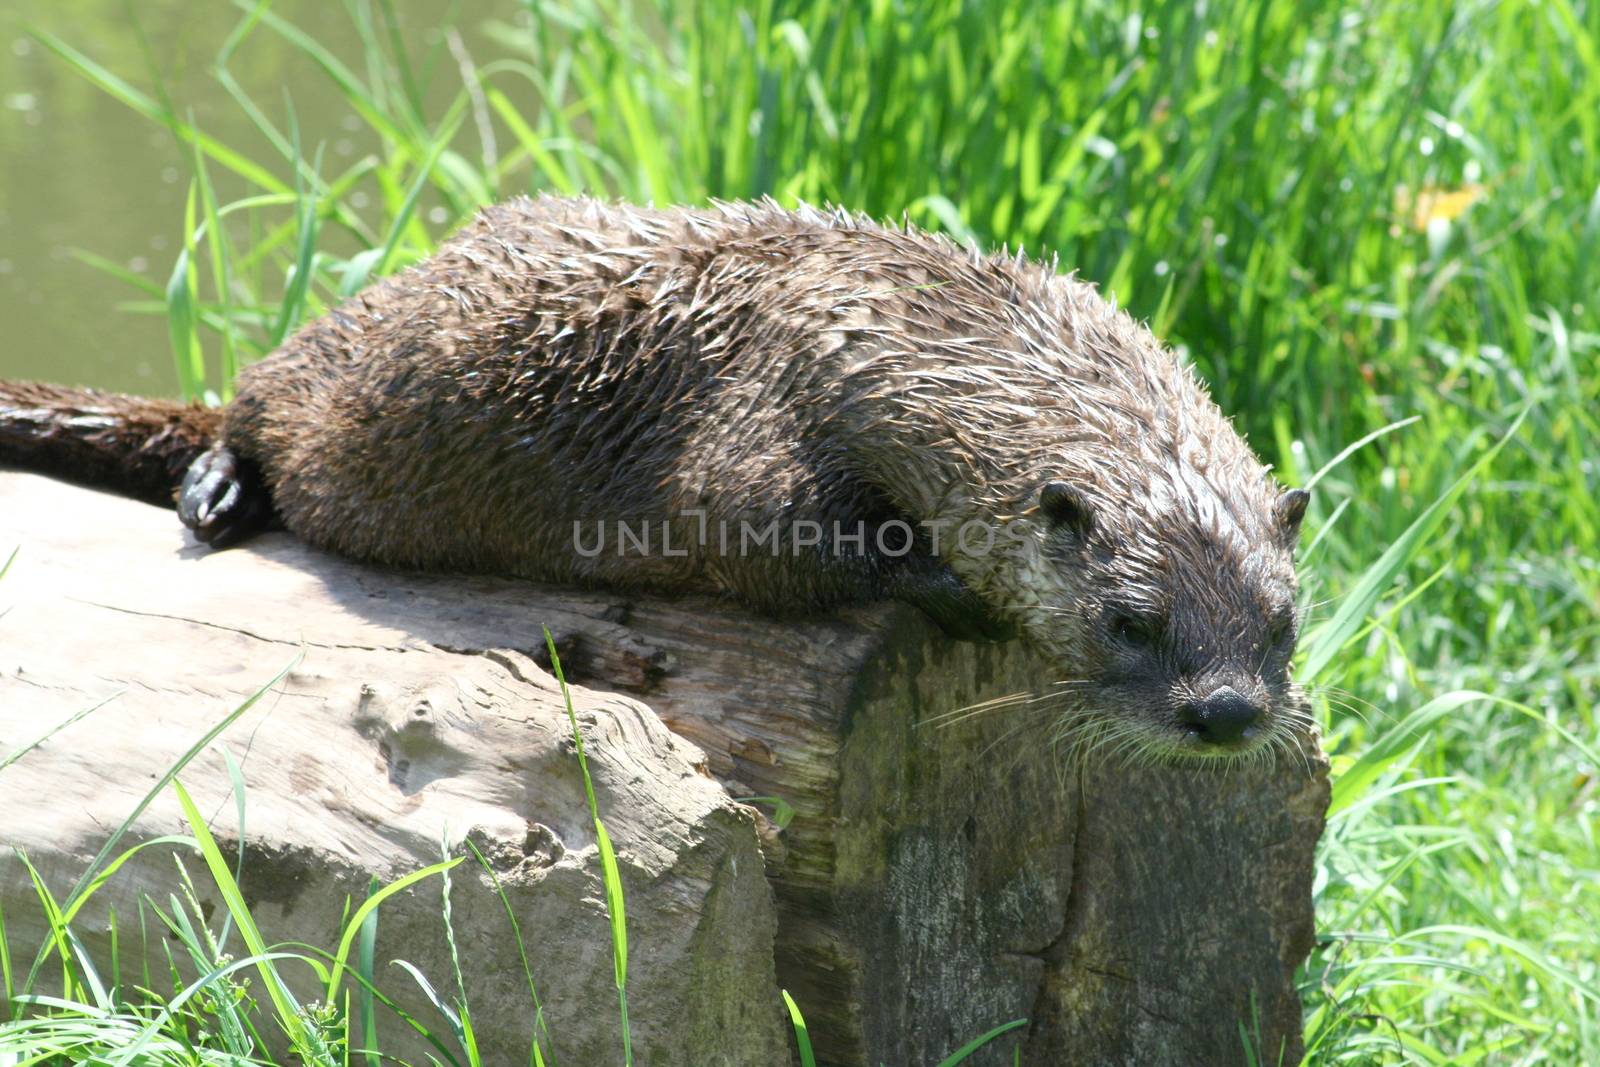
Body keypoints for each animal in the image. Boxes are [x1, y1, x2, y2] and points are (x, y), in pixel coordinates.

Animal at [0, 195, 1312, 764]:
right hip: (341, 361)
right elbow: (757, 533)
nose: (1225, 711)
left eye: (1282, 623)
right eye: (1129, 620)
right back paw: (217, 492)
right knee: (249, 400)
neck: (903, 333)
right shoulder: (762, 423)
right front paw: (947, 586)